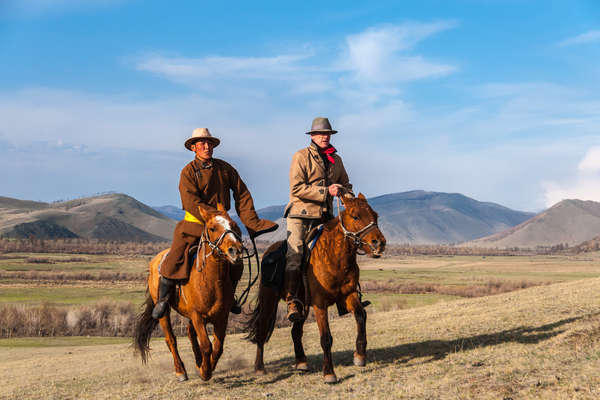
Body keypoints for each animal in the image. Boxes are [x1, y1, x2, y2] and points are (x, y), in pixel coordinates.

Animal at [132, 205, 243, 382]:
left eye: (234, 225)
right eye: (212, 228)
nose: (236, 251)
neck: (211, 281)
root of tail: (156, 260)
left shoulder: (221, 317)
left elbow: (217, 348)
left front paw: (205, 366)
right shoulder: (197, 316)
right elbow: (206, 346)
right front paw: (205, 372)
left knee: (190, 333)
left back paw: (197, 362)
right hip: (164, 312)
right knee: (171, 339)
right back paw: (181, 371)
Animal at [246, 194, 386, 384]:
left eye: (375, 215)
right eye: (355, 216)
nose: (379, 243)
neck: (335, 257)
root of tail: (269, 251)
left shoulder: (349, 295)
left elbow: (360, 316)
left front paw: (360, 356)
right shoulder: (320, 304)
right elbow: (326, 338)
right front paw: (329, 373)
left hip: (302, 307)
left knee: (296, 332)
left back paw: (301, 362)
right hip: (269, 300)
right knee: (261, 330)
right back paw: (259, 368)